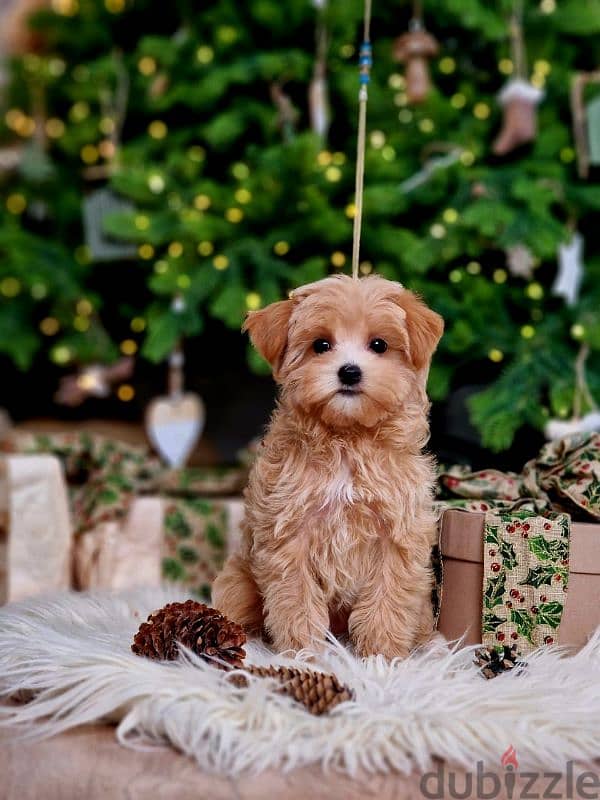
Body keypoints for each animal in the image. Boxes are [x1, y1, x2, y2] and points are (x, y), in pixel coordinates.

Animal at [213, 272, 442, 660]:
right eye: (321, 345)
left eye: (379, 344)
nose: (349, 372)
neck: (346, 439)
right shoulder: (290, 532)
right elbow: (296, 598)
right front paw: (304, 653)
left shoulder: (397, 534)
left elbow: (387, 598)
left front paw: (381, 656)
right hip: (238, 584)